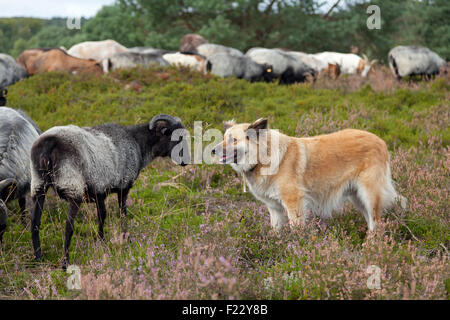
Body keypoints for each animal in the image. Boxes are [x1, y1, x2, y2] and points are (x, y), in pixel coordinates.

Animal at [30, 114, 190, 268]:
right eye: (177, 138)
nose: (186, 161)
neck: (138, 143)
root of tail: (49, 144)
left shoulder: (99, 191)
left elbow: (102, 215)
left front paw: (101, 242)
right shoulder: (123, 187)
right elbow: (122, 213)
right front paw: (126, 239)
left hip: (39, 185)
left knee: (35, 222)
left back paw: (38, 258)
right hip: (72, 185)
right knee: (69, 226)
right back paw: (65, 262)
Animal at [213, 119, 406, 231]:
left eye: (233, 140)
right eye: (223, 138)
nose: (213, 150)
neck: (263, 157)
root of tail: (381, 141)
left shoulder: (294, 204)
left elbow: (296, 230)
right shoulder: (275, 209)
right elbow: (275, 231)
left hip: (369, 195)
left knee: (377, 223)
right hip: (357, 197)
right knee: (372, 224)